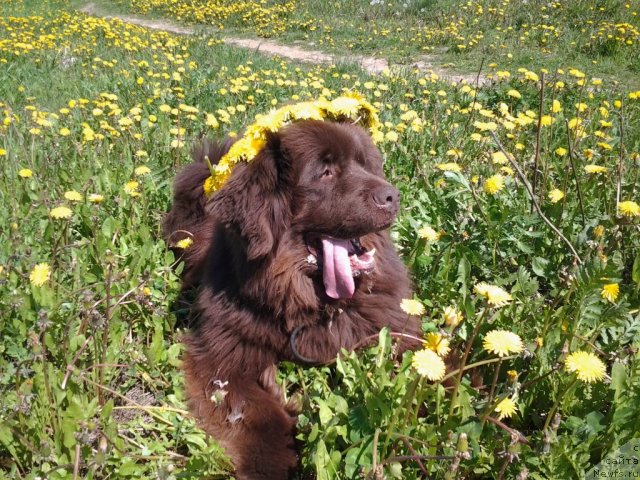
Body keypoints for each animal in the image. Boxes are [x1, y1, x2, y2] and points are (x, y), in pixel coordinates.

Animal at [164, 118, 420, 478]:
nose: (392, 196)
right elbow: (259, 413)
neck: (312, 303)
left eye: (363, 164)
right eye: (325, 172)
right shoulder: (222, 356)